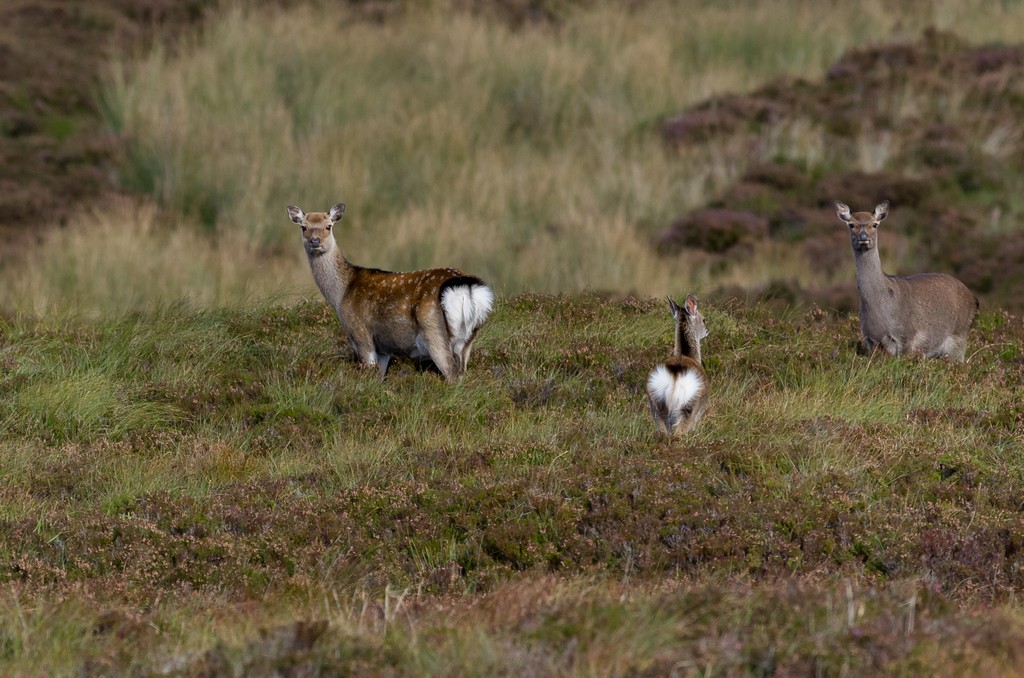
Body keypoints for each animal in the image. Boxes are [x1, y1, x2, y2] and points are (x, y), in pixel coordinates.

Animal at [287, 203, 494, 382]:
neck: (341, 294)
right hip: (467, 339)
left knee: (452, 375)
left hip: (434, 332)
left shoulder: (361, 335)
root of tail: (467, 288)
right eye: (304, 227)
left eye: (328, 226)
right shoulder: (383, 349)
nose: (315, 241)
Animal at [835, 200, 978, 362]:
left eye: (875, 224)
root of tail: (974, 299)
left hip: (959, 334)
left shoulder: (908, 336)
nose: (863, 236)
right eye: (852, 224)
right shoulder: (869, 339)